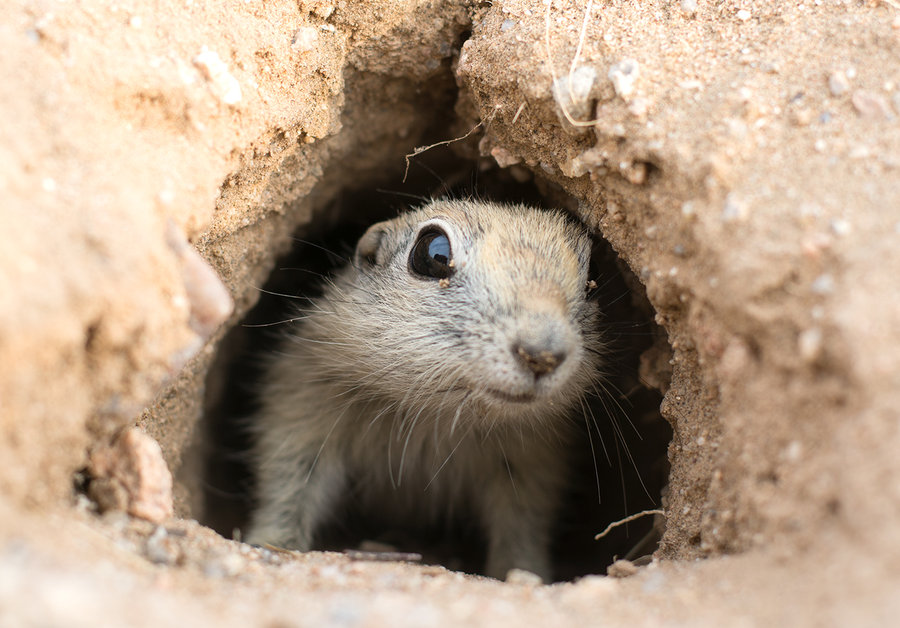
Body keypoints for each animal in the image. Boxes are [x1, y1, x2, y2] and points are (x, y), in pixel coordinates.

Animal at [244, 199, 604, 580]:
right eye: (433, 253)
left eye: (593, 274)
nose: (542, 354)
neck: (437, 414)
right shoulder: (300, 408)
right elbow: (286, 487)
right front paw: (271, 542)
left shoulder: (532, 462)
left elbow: (524, 523)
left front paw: (521, 572)